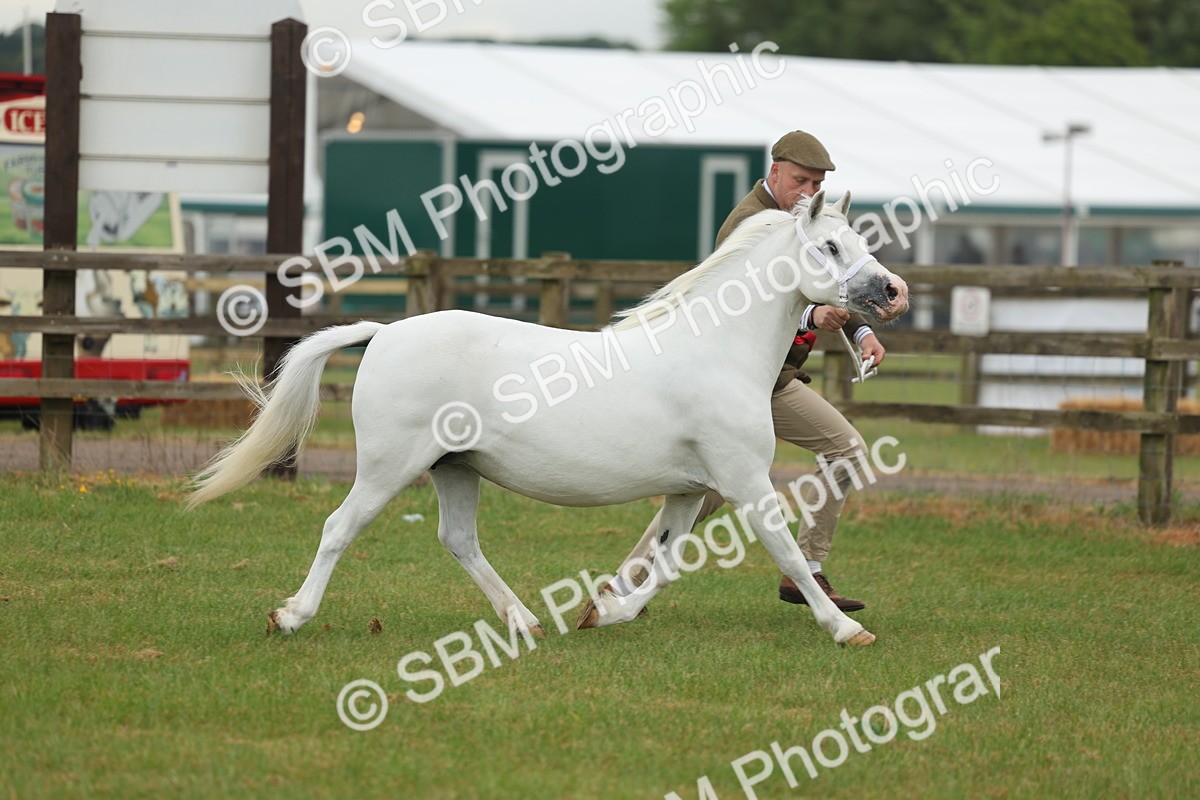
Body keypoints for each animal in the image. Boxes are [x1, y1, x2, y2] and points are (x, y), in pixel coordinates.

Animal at [187, 190, 909, 647]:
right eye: (830, 246)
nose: (893, 292)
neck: (716, 350)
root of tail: (385, 332)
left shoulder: (690, 490)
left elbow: (665, 561)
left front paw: (606, 611)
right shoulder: (744, 482)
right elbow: (786, 552)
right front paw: (847, 629)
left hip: (455, 468)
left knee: (459, 540)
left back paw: (525, 622)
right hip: (390, 468)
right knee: (340, 528)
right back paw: (291, 617)